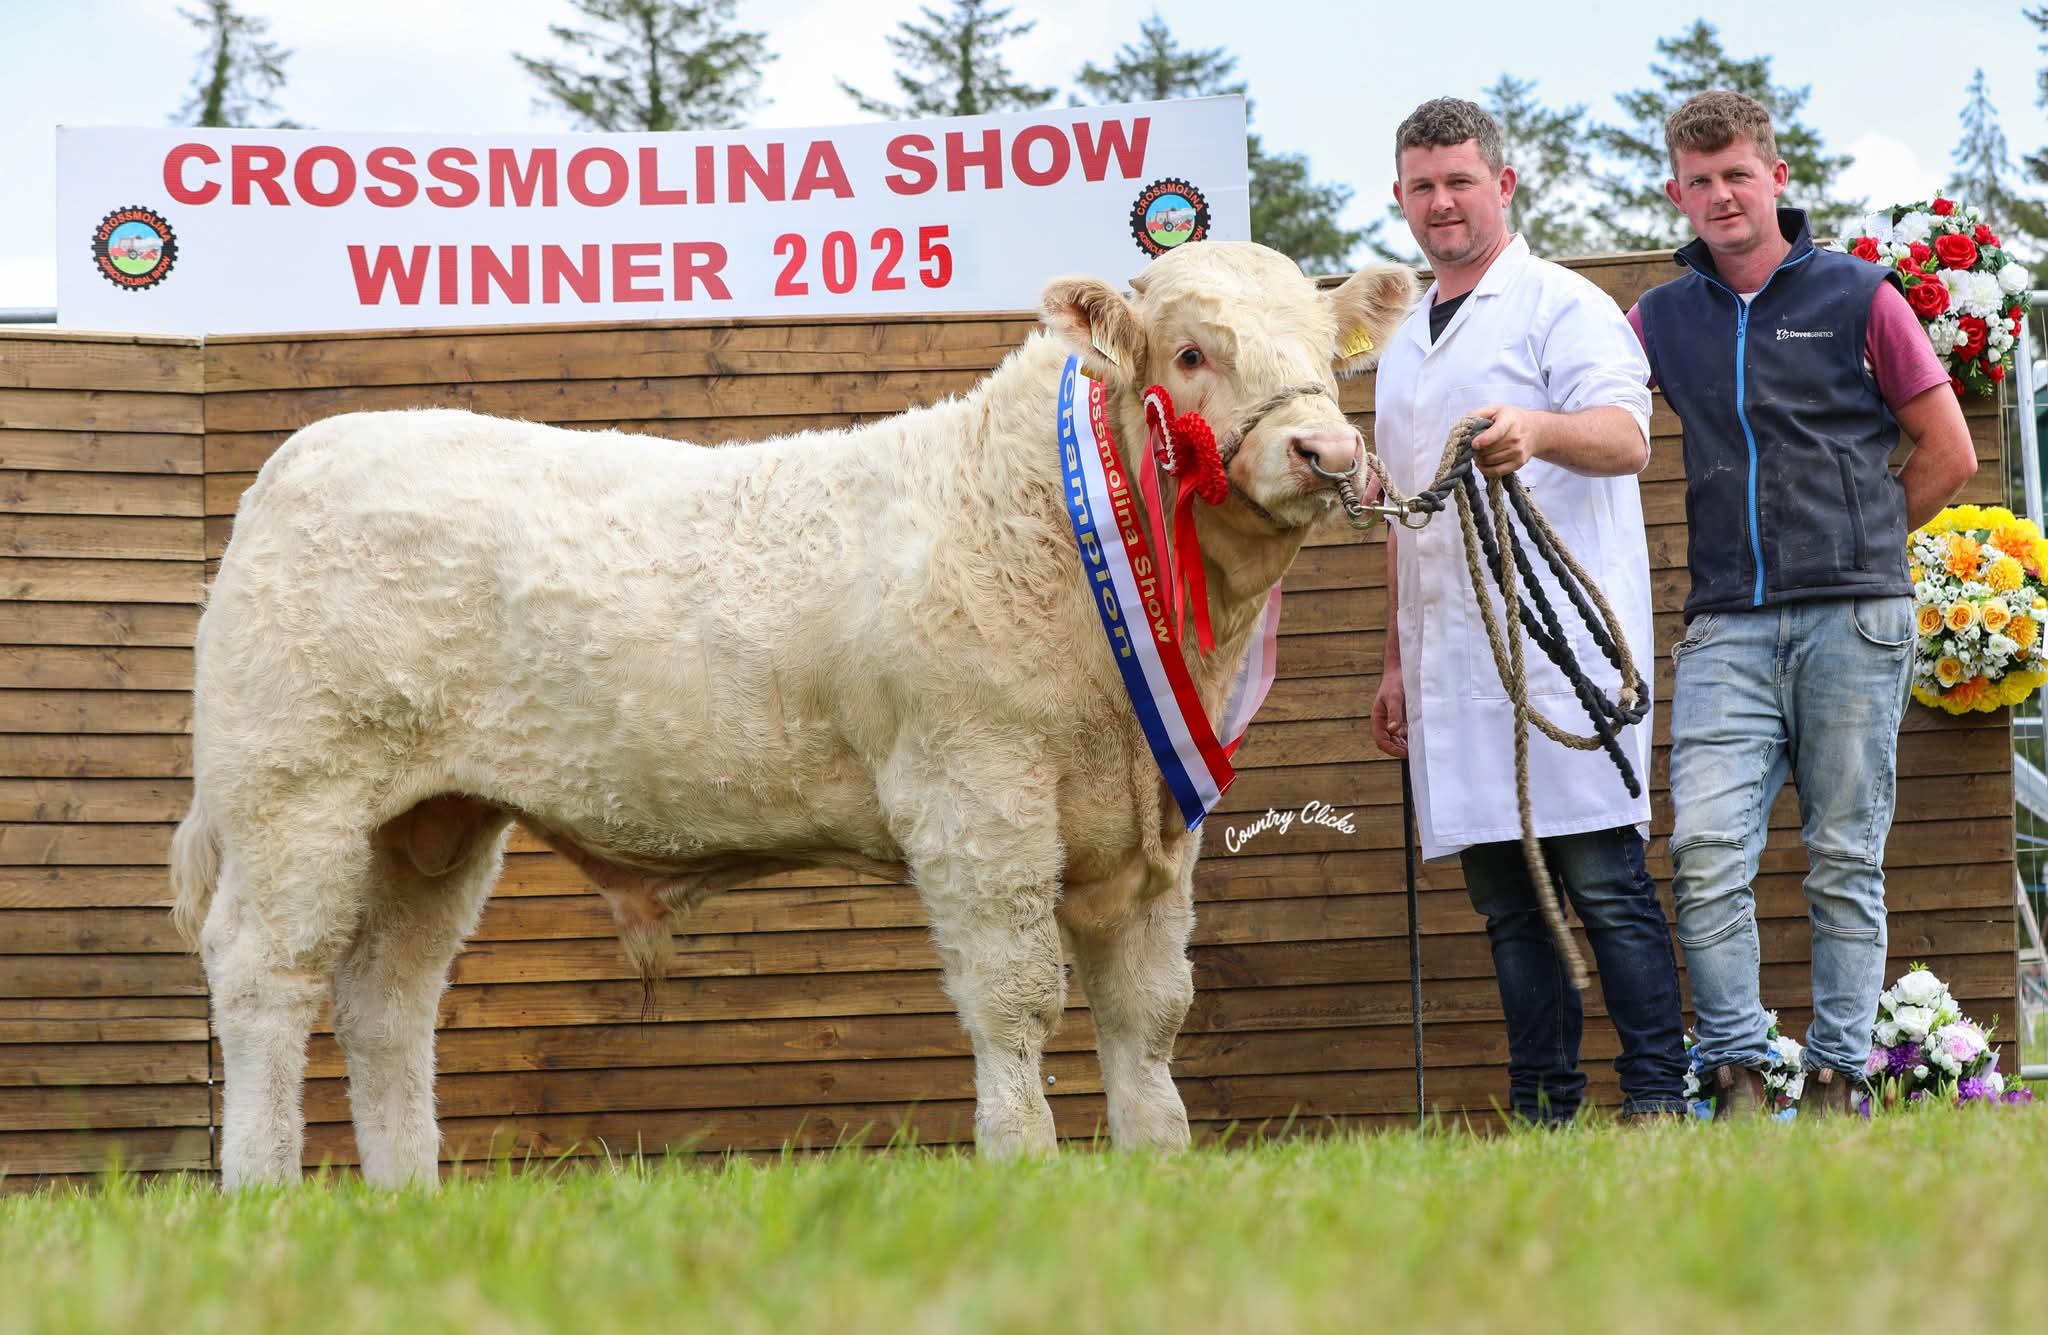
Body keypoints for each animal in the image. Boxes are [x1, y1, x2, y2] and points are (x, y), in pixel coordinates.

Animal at [170, 241, 1417, 1188]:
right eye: (1194, 352)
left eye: (1325, 356)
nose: (1326, 451)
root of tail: (300, 458)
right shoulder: (977, 796)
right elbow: (1014, 996)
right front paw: (1021, 1161)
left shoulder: (1153, 827)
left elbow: (1148, 1009)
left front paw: (1158, 1165)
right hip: (296, 798)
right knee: (265, 976)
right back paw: (265, 1187)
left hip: (432, 823)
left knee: (387, 995)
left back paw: (405, 1196)